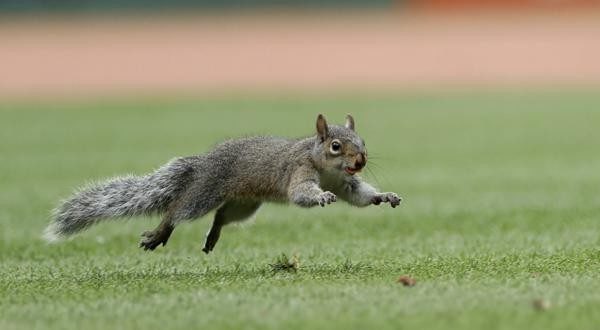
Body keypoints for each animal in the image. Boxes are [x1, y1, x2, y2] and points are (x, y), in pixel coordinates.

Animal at [43, 113, 404, 253]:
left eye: (362, 141)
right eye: (335, 146)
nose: (361, 161)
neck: (322, 164)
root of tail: (204, 163)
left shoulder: (345, 182)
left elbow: (359, 195)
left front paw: (384, 196)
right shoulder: (297, 171)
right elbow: (301, 193)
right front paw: (321, 198)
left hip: (245, 204)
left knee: (222, 216)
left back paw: (212, 237)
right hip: (204, 194)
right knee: (178, 210)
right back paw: (160, 233)